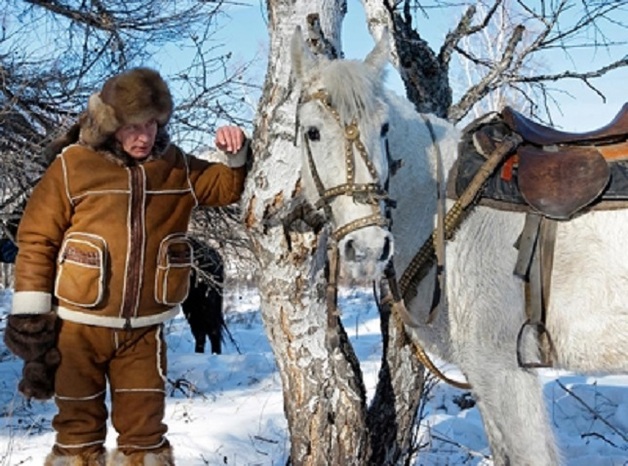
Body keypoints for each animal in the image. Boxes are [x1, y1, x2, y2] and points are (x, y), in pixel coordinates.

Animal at [290, 28, 628, 466]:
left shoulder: (502, 369)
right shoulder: (485, 375)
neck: (439, 203)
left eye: (383, 129)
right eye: (312, 131)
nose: (368, 247)